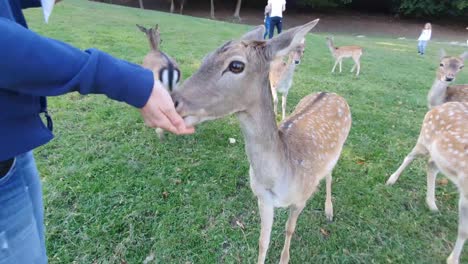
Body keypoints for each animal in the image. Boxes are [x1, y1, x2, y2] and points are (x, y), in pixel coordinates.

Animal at [171, 19, 352, 262]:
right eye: (205, 58)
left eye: (236, 65)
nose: (172, 101)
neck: (279, 178)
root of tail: (331, 92)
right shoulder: (262, 198)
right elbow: (262, 242)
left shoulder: (301, 198)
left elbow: (289, 229)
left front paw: (285, 258)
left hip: (339, 149)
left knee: (330, 175)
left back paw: (329, 211)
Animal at [388, 101, 468, 264]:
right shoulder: (465, 192)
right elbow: (464, 230)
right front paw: (452, 259)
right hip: (424, 139)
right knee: (410, 156)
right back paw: (391, 180)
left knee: (431, 164)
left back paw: (432, 205)